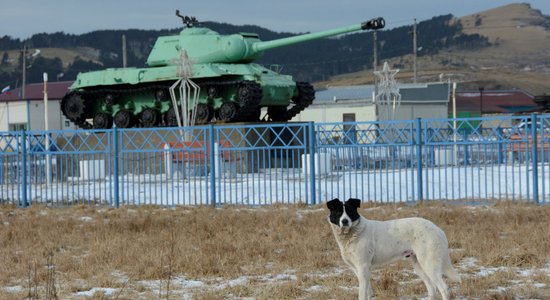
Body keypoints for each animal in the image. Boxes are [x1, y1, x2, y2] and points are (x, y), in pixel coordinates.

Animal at [328, 198, 462, 298]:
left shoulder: (363, 267)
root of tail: (438, 229)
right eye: (338, 212)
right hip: (419, 265)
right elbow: (368, 292)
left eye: (350, 211)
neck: (353, 232)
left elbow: (362, 294)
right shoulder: (358, 270)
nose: (345, 221)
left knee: (443, 288)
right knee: (432, 288)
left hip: (429, 264)